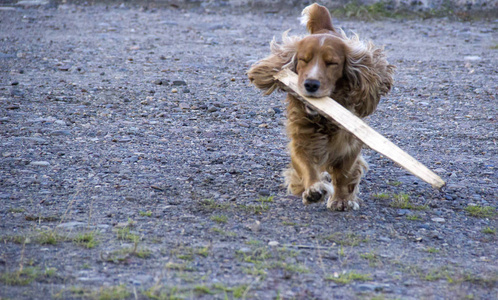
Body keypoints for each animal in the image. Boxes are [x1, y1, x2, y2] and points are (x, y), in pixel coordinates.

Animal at [247, 2, 394, 211]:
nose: (311, 84)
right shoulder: (300, 140)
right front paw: (313, 189)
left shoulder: (350, 144)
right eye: (303, 60)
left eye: (332, 63)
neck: (324, 117)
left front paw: (342, 199)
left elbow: (344, 173)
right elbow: (306, 166)